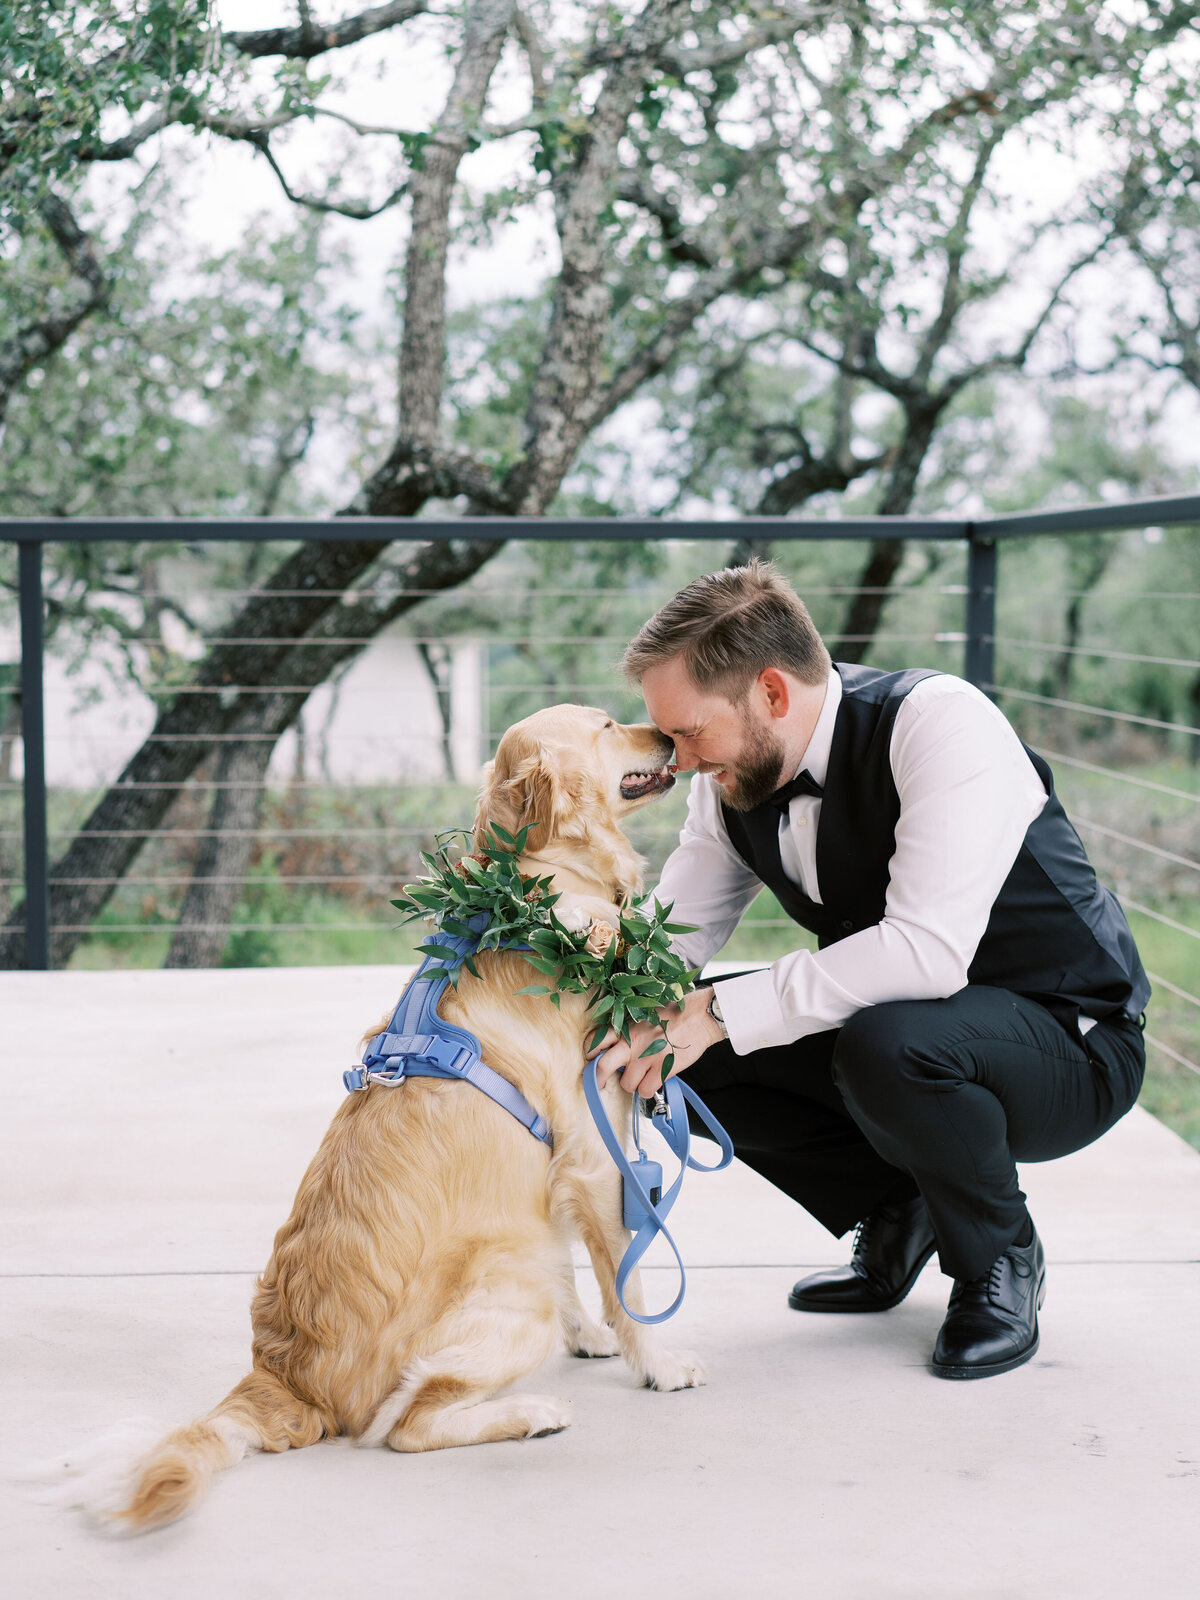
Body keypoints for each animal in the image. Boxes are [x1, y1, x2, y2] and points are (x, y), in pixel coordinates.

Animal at [72, 707, 694, 1529]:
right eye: (607, 724)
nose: (671, 734)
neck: (542, 895)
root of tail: (286, 1377)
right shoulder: (596, 1151)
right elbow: (627, 1286)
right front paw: (657, 1364)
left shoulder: (547, 1171)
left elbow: (568, 1259)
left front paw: (588, 1336)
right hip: (507, 1291)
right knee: (404, 1427)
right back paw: (531, 1412)